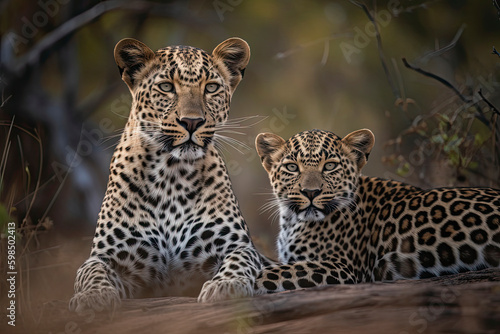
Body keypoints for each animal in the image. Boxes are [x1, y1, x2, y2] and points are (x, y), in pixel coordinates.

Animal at [69, 37, 274, 312]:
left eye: (210, 88)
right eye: (166, 87)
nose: (192, 122)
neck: (171, 174)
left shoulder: (236, 246)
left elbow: (240, 261)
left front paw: (225, 285)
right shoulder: (109, 257)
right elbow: (91, 271)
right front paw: (93, 297)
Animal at [254, 129, 500, 292]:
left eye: (330, 166)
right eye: (292, 167)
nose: (311, 192)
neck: (292, 221)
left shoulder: (341, 267)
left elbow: (267, 273)